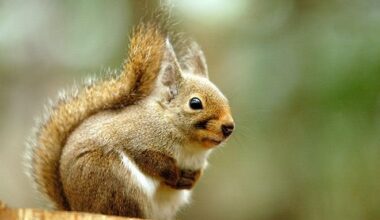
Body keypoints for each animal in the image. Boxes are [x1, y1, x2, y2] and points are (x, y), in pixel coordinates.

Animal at [24, 15, 235, 220]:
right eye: (195, 103)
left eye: (225, 98)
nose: (229, 127)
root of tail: (75, 206)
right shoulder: (136, 140)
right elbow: (152, 160)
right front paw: (174, 174)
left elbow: (196, 174)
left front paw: (190, 180)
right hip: (115, 180)